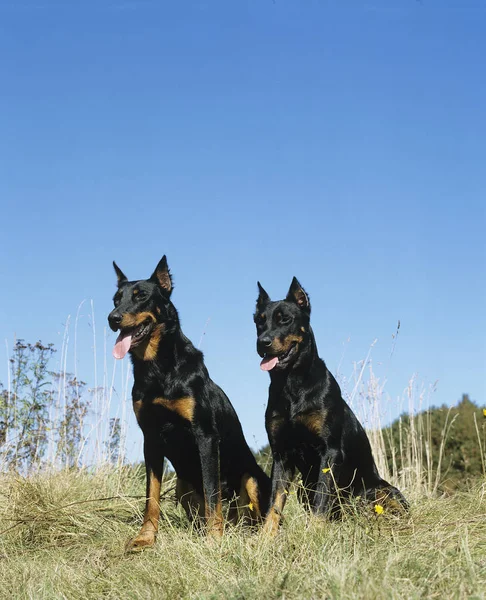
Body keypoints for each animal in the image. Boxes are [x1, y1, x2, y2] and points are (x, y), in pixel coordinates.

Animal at [107, 256, 272, 548]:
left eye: (141, 296)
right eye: (116, 299)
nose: (112, 318)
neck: (158, 370)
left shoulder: (204, 435)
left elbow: (211, 491)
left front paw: (214, 539)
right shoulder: (151, 438)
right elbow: (152, 496)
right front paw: (145, 538)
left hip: (252, 477)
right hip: (182, 485)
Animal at [254, 278, 406, 536]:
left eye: (285, 319)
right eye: (259, 320)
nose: (262, 343)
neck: (292, 384)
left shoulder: (329, 450)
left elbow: (322, 498)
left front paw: (314, 533)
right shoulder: (281, 454)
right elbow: (275, 502)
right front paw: (265, 538)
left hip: (381, 489)